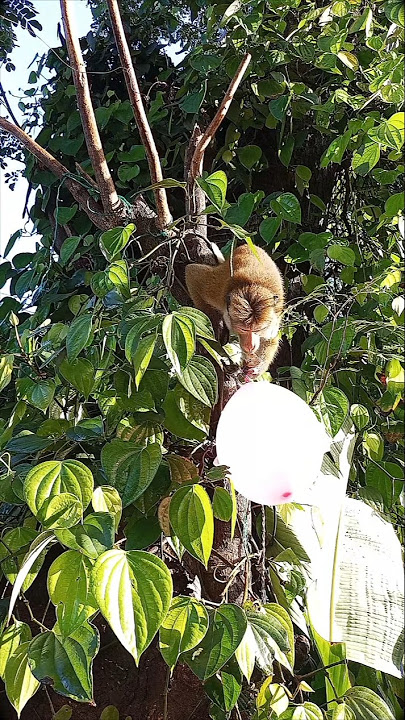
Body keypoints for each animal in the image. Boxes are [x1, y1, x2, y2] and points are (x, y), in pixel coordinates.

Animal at [185, 244, 284, 378]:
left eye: (258, 330)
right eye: (244, 329)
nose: (250, 346)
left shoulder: (273, 317)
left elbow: (270, 338)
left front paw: (258, 368)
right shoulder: (218, 294)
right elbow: (192, 273)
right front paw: (212, 328)